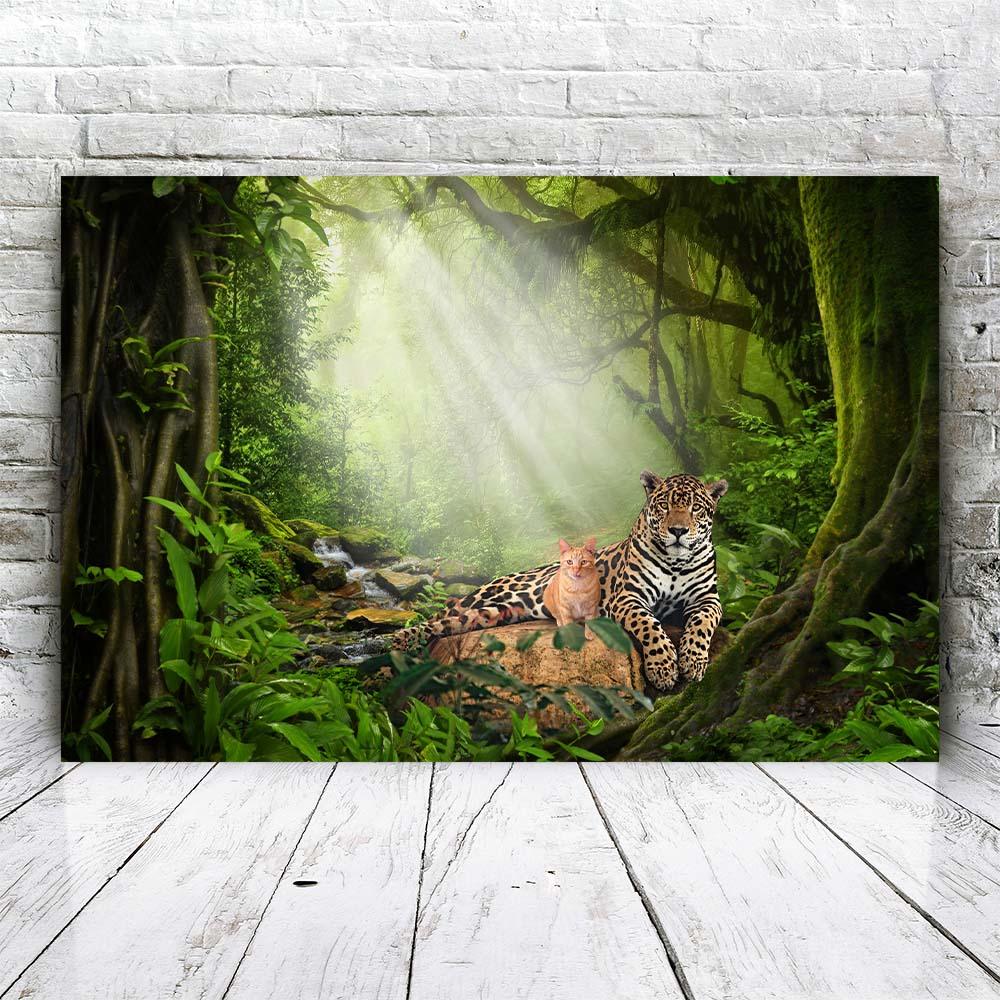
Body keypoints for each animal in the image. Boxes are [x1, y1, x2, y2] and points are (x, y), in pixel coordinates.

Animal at [391, 471, 728, 691]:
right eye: (664, 506)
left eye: (696, 508)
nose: (678, 531)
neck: (676, 562)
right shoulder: (628, 597)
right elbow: (649, 627)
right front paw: (663, 667)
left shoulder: (708, 599)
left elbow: (702, 624)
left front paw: (693, 661)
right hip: (482, 597)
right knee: (437, 617)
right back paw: (398, 640)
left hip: (495, 613)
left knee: (449, 624)